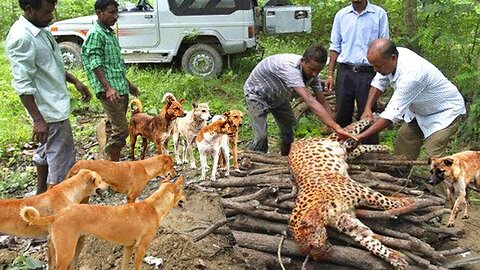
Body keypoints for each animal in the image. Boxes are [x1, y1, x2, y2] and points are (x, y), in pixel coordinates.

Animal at [21, 175, 185, 270]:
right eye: (182, 191)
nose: (185, 198)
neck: (153, 207)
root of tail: (57, 215)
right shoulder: (141, 248)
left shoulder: (128, 247)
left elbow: (124, 266)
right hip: (66, 253)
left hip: (60, 249)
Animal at [286, 119, 414, 268]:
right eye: (309, 250)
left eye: (311, 245)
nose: (320, 257)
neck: (320, 211)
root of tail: (296, 142)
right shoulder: (346, 220)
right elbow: (370, 242)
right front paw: (394, 258)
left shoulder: (363, 191)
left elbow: (386, 202)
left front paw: (406, 202)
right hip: (346, 152)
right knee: (359, 147)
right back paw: (383, 147)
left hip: (336, 138)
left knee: (352, 128)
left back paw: (372, 119)